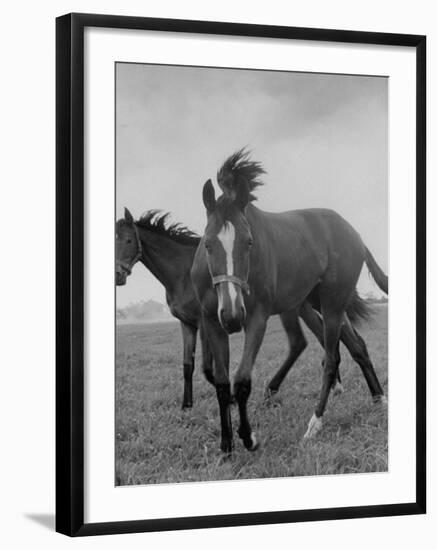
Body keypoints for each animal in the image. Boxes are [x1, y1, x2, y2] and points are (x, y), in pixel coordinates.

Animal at [116, 209, 374, 412]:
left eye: (128, 240)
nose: (118, 275)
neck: (182, 272)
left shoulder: (205, 323)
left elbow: (208, 368)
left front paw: (229, 398)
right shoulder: (187, 324)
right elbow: (188, 365)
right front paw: (187, 406)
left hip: (311, 306)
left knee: (323, 342)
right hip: (313, 306)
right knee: (336, 341)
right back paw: (350, 390)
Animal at [191, 149, 384, 454]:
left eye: (249, 241)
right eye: (208, 243)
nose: (233, 316)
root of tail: (355, 235)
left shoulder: (256, 319)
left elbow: (241, 380)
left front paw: (249, 437)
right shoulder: (211, 321)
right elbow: (222, 383)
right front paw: (226, 443)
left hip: (332, 303)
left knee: (331, 358)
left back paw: (315, 423)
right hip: (314, 304)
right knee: (355, 346)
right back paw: (379, 399)